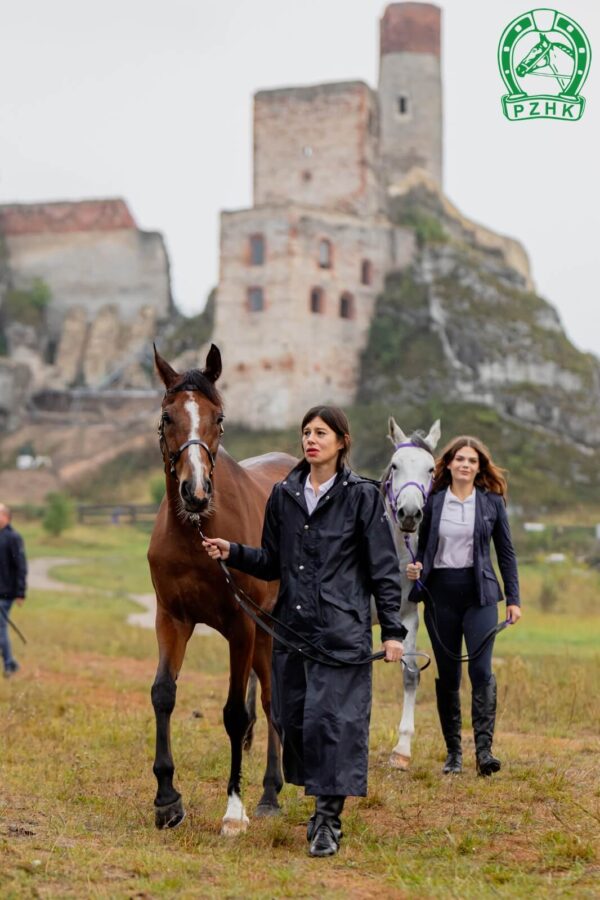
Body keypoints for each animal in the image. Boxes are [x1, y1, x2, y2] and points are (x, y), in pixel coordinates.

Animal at [145, 346, 296, 836]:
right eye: (167, 417)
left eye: (220, 418)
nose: (195, 492)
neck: (197, 534)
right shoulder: (171, 619)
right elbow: (163, 694)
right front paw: (167, 800)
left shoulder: (240, 628)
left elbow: (235, 714)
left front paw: (234, 809)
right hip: (266, 634)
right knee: (270, 701)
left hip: (270, 630)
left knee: (269, 704)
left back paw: (269, 794)